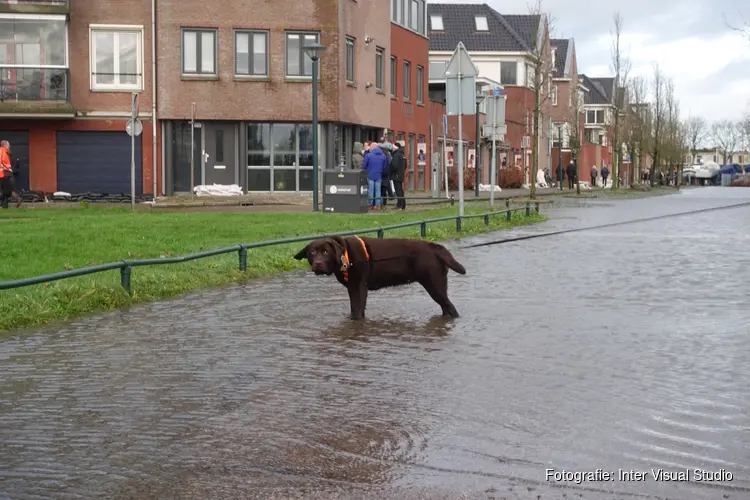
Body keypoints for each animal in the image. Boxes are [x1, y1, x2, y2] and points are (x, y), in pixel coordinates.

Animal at [292, 235, 464, 320]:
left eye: (326, 252)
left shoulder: (358, 287)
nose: (318, 264)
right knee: (446, 308)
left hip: (433, 284)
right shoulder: (353, 288)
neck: (345, 256)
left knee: (451, 308)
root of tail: (434, 247)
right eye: (313, 252)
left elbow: (357, 311)